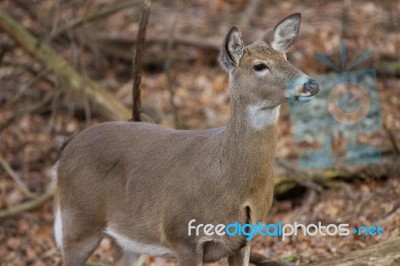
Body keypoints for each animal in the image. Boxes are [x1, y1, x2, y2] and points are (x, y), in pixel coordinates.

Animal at [54, 13, 320, 266]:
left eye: (286, 58)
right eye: (259, 66)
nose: (311, 84)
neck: (231, 181)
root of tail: (61, 159)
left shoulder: (244, 241)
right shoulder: (182, 235)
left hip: (128, 241)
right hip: (79, 220)